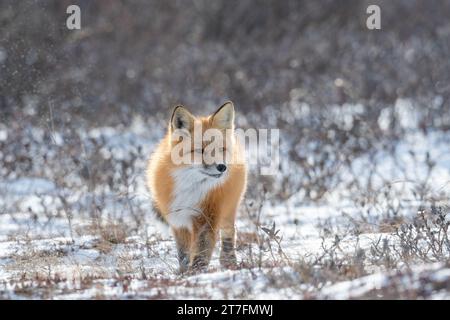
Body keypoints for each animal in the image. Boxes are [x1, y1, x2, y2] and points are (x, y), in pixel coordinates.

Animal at [147, 102, 246, 272]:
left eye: (221, 149)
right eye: (200, 150)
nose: (222, 167)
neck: (189, 187)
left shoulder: (207, 216)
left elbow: (201, 250)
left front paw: (196, 273)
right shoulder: (178, 219)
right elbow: (184, 253)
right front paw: (184, 272)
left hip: (229, 207)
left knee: (228, 232)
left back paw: (229, 261)